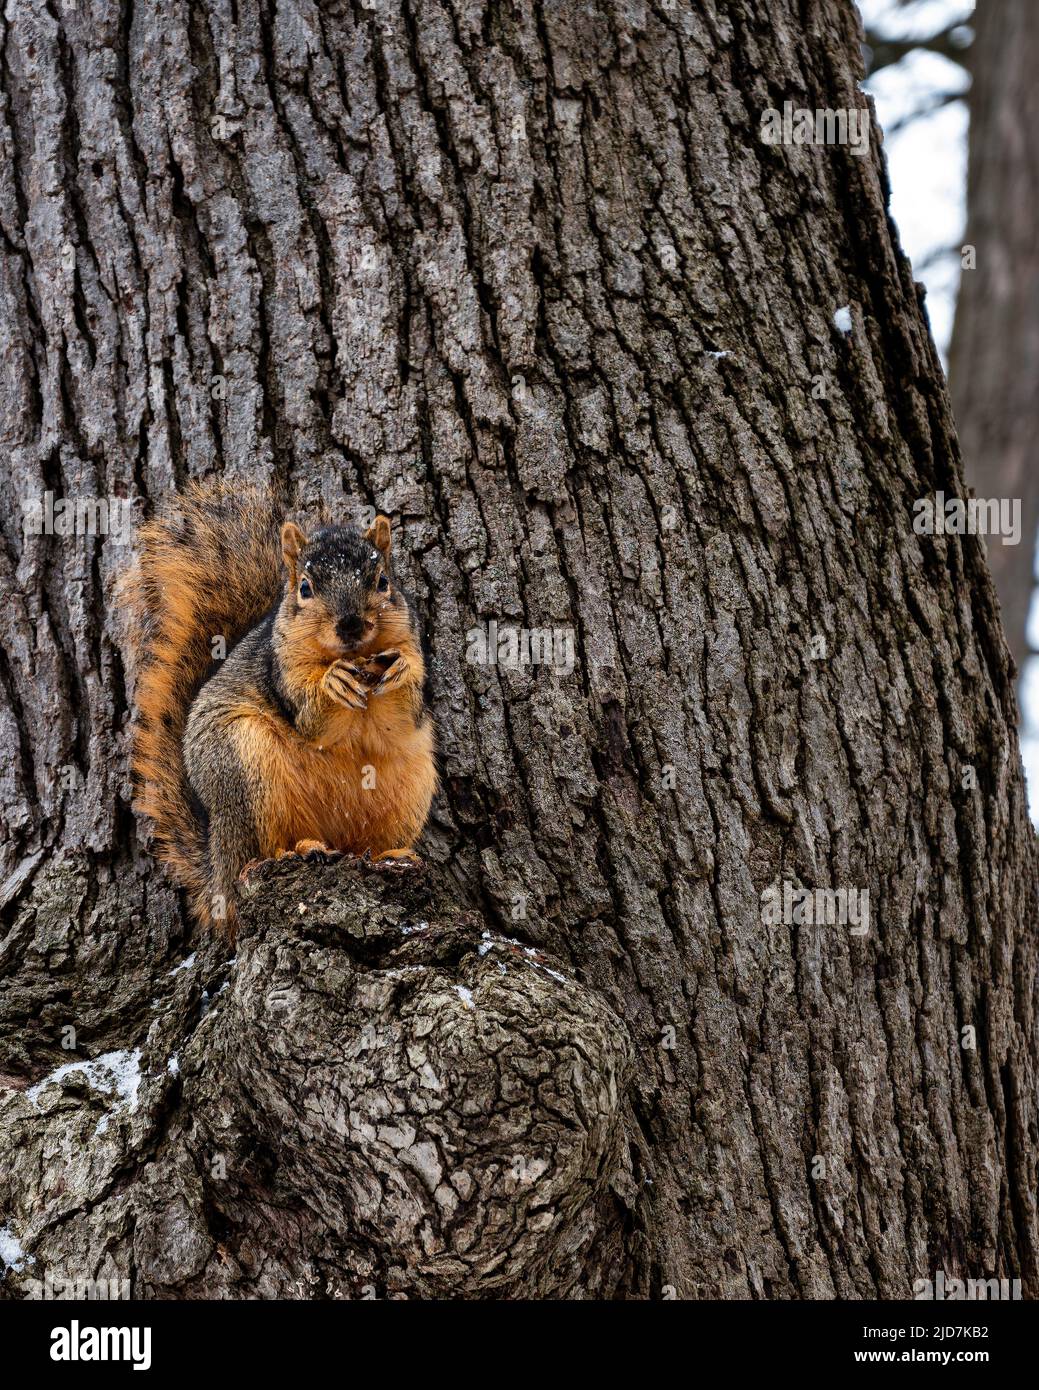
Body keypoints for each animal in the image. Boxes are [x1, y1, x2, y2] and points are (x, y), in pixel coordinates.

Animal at [121, 480, 437, 933]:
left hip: (410, 789)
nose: (350, 624)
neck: (354, 657)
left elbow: (404, 712)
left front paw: (402, 670)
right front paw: (331, 683)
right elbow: (312, 719)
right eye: (305, 588)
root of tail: (218, 861)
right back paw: (294, 850)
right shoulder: (281, 672)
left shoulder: (409, 648)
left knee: (365, 844)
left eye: (382, 581)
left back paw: (388, 855)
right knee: (259, 850)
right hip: (242, 764)